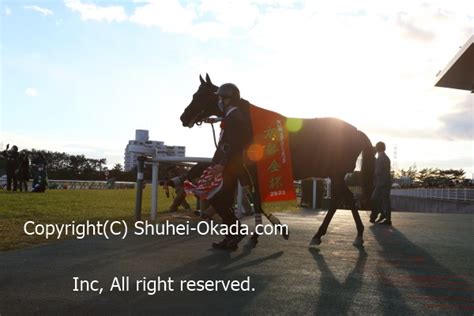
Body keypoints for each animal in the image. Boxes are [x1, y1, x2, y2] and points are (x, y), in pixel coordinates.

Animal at [181, 74, 374, 247]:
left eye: (198, 96)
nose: (183, 117)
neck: (250, 125)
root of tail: (357, 132)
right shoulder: (247, 174)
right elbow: (254, 200)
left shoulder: (254, 174)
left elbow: (257, 201)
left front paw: (261, 234)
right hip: (336, 175)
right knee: (346, 198)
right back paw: (350, 234)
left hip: (336, 174)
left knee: (340, 200)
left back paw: (322, 235)